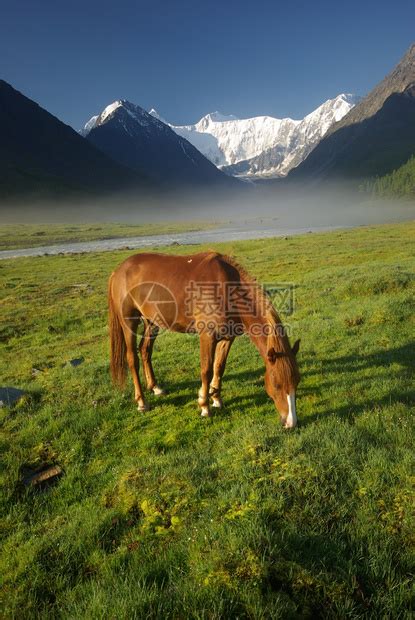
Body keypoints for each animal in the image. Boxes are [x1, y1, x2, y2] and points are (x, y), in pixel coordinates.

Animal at [109, 249, 300, 428]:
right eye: (277, 385)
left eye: (297, 381)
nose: (291, 423)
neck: (225, 288)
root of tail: (119, 270)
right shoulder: (207, 337)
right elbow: (206, 369)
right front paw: (204, 406)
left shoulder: (227, 337)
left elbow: (219, 367)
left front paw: (216, 399)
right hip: (129, 322)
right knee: (132, 359)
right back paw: (142, 402)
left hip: (152, 322)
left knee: (145, 350)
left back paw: (155, 388)